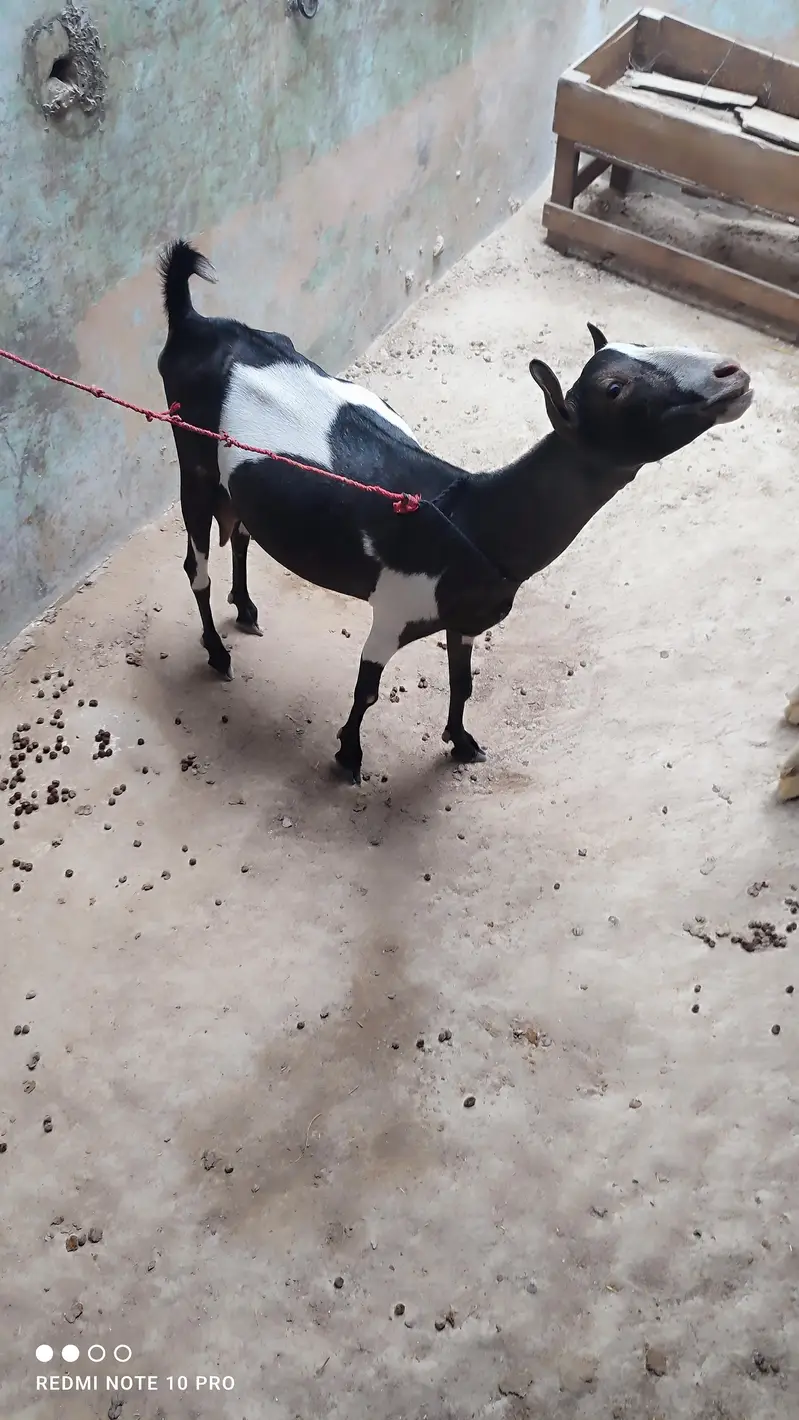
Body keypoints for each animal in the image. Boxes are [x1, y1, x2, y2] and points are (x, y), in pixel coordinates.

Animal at [157, 239, 753, 784]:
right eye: (614, 388)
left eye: (642, 344)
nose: (732, 372)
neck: (472, 519)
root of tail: (193, 321)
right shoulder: (393, 613)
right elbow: (367, 690)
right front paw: (348, 757)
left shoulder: (467, 619)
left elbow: (463, 681)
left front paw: (462, 742)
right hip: (191, 458)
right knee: (195, 566)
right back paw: (217, 653)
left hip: (233, 479)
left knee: (240, 530)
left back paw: (246, 608)